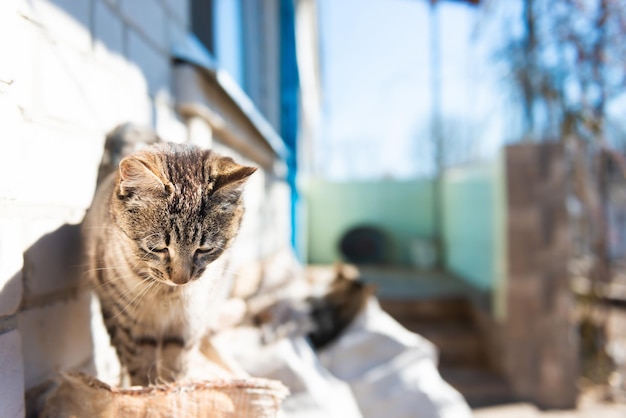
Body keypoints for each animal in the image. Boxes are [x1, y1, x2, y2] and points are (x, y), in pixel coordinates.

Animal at [81, 138, 255, 386]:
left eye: (205, 249)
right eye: (158, 248)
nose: (181, 280)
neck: (166, 294)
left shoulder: (186, 326)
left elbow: (175, 368)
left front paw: (173, 389)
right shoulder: (133, 326)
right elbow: (140, 368)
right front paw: (145, 392)